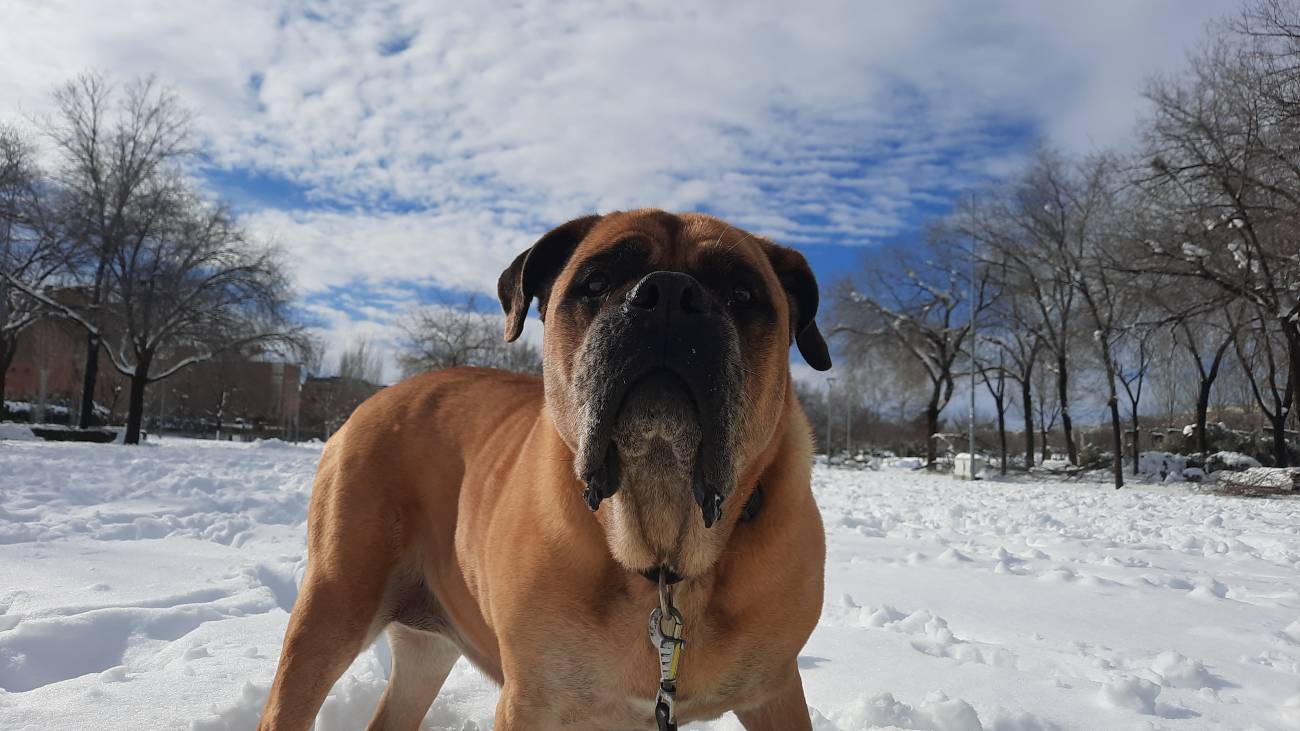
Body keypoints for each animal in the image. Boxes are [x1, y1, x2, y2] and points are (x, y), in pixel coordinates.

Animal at [256, 208, 832, 723]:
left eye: (742, 293)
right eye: (595, 282)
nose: (668, 294)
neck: (663, 555)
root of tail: (375, 399)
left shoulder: (777, 691)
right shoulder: (533, 700)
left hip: (423, 650)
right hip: (331, 605)